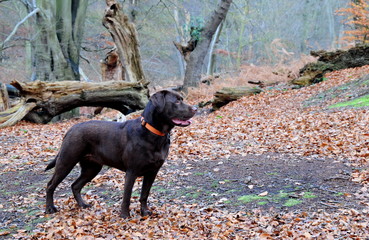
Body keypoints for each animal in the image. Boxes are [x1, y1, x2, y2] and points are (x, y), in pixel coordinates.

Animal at [44, 89, 197, 218]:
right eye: (176, 101)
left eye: (181, 99)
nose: (195, 108)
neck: (153, 132)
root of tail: (71, 129)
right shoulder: (132, 171)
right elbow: (127, 196)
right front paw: (125, 216)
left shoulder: (152, 171)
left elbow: (144, 194)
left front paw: (145, 212)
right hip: (67, 161)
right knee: (50, 185)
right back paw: (50, 208)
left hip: (92, 168)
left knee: (75, 186)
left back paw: (83, 205)